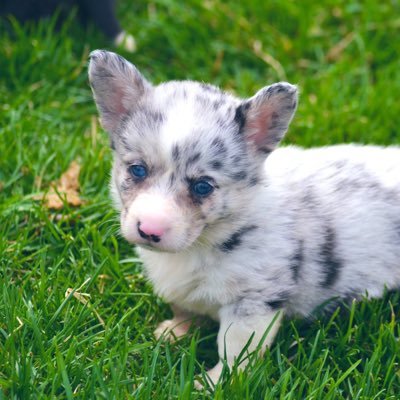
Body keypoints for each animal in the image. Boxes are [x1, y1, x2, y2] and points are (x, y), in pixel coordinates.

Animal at [89, 49, 400, 384]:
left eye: (202, 186)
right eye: (137, 170)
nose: (149, 229)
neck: (206, 241)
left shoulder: (252, 302)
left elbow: (234, 351)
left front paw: (215, 383)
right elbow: (185, 310)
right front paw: (173, 332)